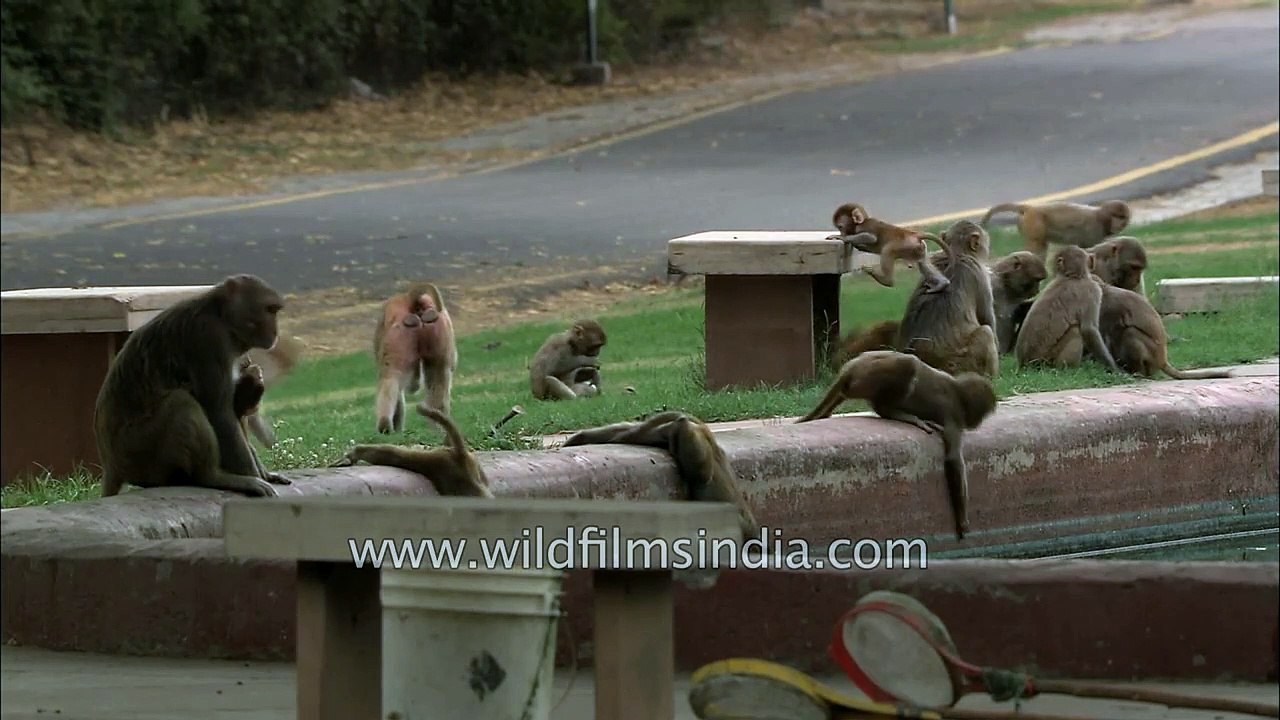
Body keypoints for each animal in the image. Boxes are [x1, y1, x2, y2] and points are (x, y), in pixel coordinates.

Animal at [95, 274, 290, 498]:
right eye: (269, 310)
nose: (276, 331)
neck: (221, 317)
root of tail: (111, 464)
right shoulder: (209, 337)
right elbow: (219, 413)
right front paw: (252, 475)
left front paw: (264, 472)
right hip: (137, 451)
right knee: (181, 401)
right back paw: (213, 477)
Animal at [373, 283, 456, 434]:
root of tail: (410, 299)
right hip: (437, 326)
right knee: (439, 373)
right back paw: (438, 426)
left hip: (399, 336)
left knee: (390, 378)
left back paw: (384, 426)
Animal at [797, 351, 997, 540]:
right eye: (982, 414)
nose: (978, 422)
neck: (957, 389)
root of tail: (852, 367)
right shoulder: (954, 417)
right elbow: (953, 460)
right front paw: (963, 520)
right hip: (866, 378)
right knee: (909, 364)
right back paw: (892, 411)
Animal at [980, 200, 1131, 260]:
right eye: (1116, 216)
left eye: (1122, 217)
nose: (1120, 224)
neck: (1102, 218)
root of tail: (1031, 208)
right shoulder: (1094, 229)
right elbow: (1087, 249)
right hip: (1034, 223)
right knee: (1036, 246)